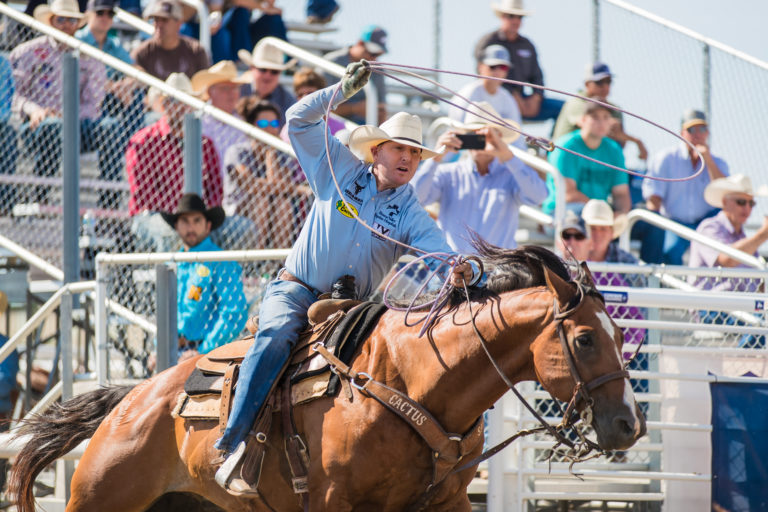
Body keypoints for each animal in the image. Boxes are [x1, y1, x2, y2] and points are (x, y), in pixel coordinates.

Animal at [9, 244, 644, 512]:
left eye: (620, 336)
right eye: (584, 339)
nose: (630, 426)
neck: (412, 385)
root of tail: (130, 401)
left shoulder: (446, 503)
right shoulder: (335, 504)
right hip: (99, 499)